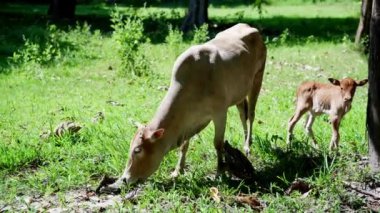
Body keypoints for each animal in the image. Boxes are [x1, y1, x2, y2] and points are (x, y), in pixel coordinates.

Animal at [101, 22, 268, 192]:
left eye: (137, 150)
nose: (125, 179)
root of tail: (248, 26)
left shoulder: (220, 113)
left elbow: (218, 143)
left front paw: (220, 172)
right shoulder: (189, 122)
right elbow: (184, 145)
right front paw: (177, 171)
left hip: (257, 79)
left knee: (251, 115)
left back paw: (247, 145)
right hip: (239, 94)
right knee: (242, 114)